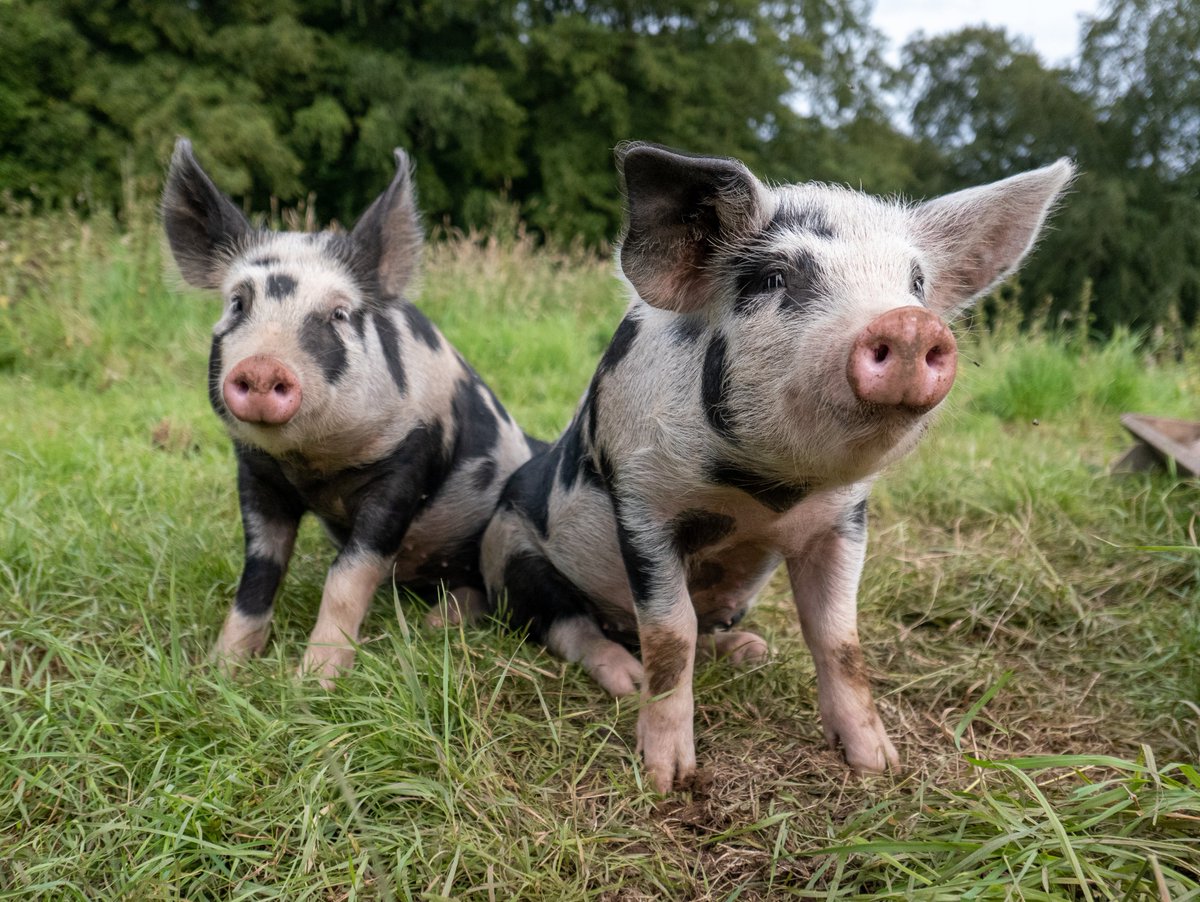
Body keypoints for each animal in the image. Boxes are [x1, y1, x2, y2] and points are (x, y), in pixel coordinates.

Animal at [162, 138, 542, 685]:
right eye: (237, 303)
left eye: (339, 313)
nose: (262, 365)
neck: (312, 467)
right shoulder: (255, 470)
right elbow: (258, 569)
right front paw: (221, 669)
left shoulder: (408, 464)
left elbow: (348, 573)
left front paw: (313, 682)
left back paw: (436, 623)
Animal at [481, 143, 1073, 792]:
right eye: (776, 278)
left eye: (915, 282)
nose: (910, 323)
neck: (764, 494)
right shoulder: (641, 502)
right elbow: (668, 633)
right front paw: (666, 779)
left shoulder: (844, 520)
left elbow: (838, 636)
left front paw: (879, 766)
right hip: (508, 552)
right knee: (565, 624)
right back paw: (624, 677)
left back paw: (749, 650)